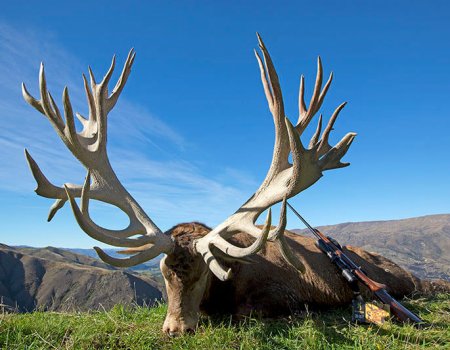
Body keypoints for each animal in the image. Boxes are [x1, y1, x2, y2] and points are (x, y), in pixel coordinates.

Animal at [22, 35, 436, 336]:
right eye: (163, 273)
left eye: (204, 273)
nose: (175, 330)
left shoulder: (280, 293)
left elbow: (249, 312)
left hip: (398, 276)